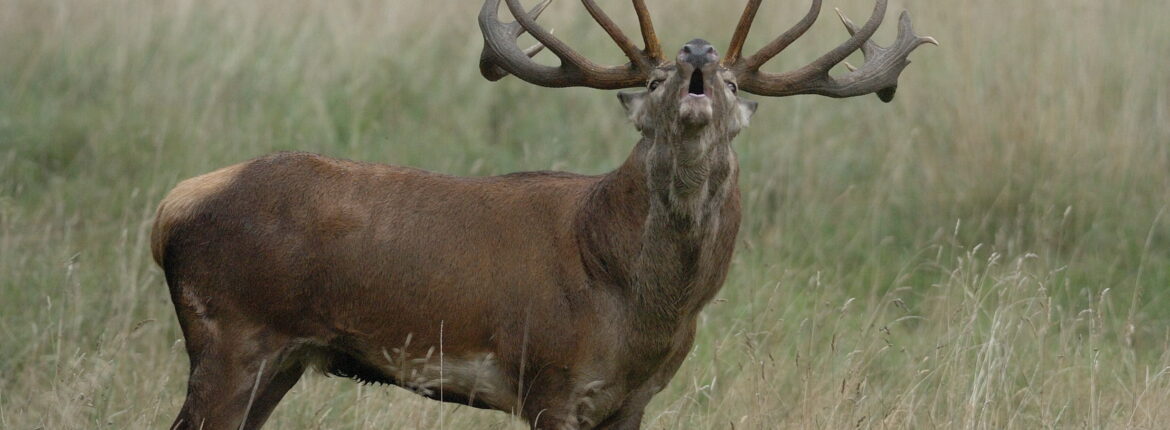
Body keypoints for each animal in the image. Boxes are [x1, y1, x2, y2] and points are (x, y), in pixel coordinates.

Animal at [150, 1, 935, 427]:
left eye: (736, 84)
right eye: (655, 79)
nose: (698, 52)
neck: (635, 308)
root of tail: (168, 209)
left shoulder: (634, 400)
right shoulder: (547, 378)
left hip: (283, 357)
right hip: (229, 332)